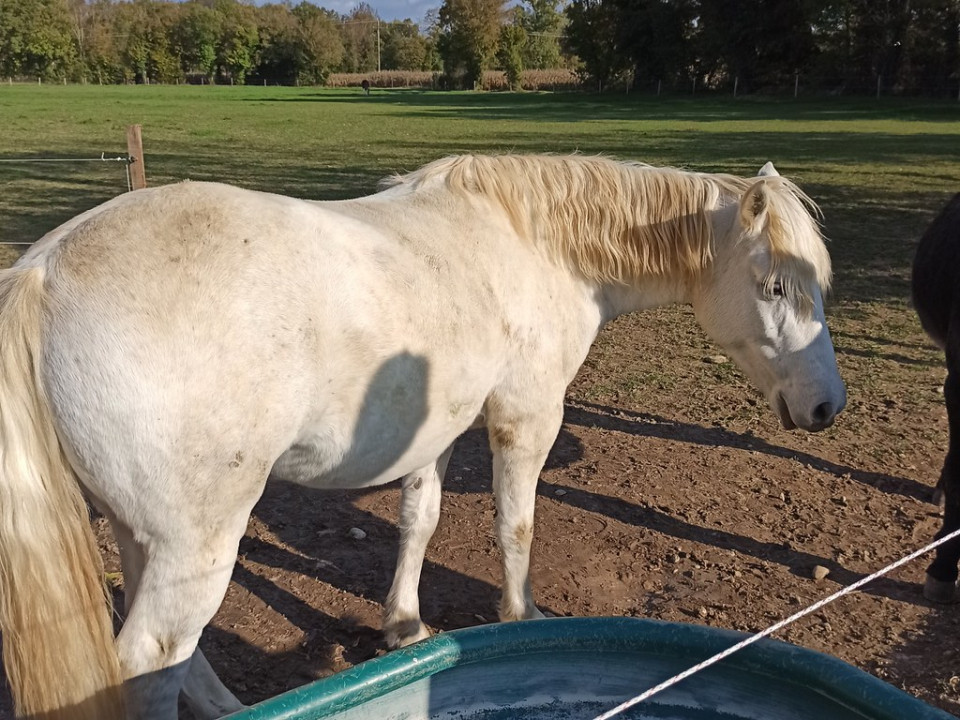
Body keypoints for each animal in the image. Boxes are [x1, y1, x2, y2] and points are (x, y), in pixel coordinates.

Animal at [0, 154, 846, 720]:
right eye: (776, 285)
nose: (826, 407)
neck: (532, 241)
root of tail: (42, 274)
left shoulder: (438, 423)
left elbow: (420, 519)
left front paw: (403, 626)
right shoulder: (528, 414)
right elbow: (516, 525)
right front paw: (521, 617)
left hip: (146, 534)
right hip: (196, 543)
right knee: (151, 660)